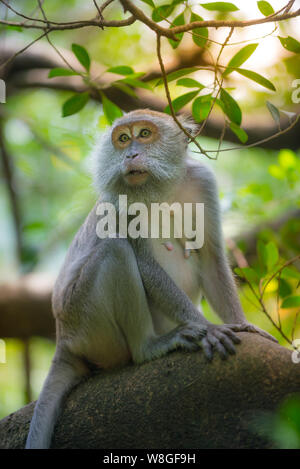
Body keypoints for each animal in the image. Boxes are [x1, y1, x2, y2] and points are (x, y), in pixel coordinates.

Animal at [25, 108, 276, 448]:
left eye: (144, 134)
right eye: (123, 138)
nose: (130, 154)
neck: (162, 190)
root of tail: (63, 337)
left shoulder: (203, 182)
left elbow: (210, 257)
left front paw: (243, 325)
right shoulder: (119, 198)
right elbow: (144, 263)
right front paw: (208, 328)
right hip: (88, 326)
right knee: (115, 251)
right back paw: (151, 347)